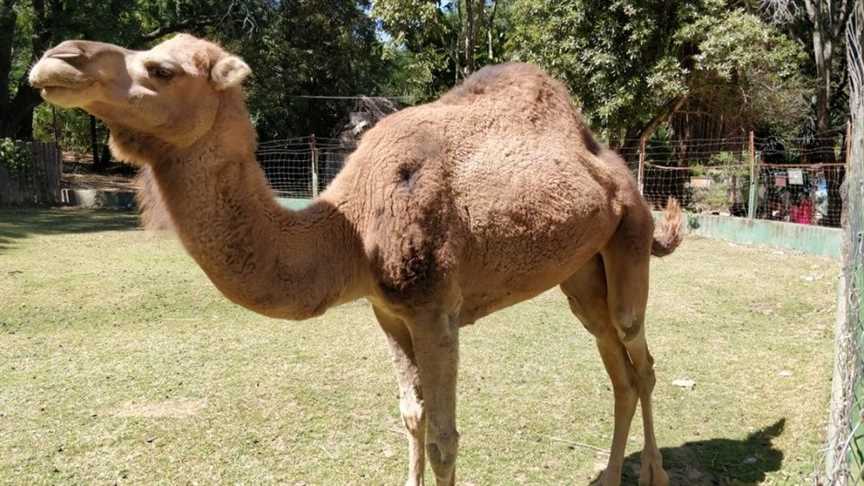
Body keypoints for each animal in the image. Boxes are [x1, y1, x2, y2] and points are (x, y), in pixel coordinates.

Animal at [29, 34, 682, 486]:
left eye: (161, 70)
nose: (58, 59)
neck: (353, 231)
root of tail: (614, 165)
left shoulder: (435, 308)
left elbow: (444, 436)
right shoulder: (387, 311)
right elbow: (412, 416)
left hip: (628, 235)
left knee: (641, 357)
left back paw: (655, 473)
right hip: (581, 272)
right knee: (617, 366)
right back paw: (607, 474)